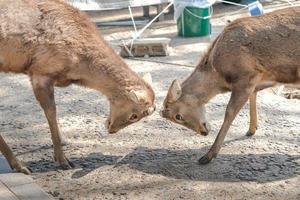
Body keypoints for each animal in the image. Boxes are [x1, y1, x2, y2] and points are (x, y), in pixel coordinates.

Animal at [0, 0, 155, 174]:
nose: (111, 130)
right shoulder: (40, 72)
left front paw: (63, 144)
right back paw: (20, 166)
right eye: (134, 115)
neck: (79, 68)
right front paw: (63, 160)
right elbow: (51, 112)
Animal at [162, 7, 300, 165]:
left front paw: (208, 155)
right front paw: (251, 129)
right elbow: (254, 95)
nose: (203, 132)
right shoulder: (260, 79)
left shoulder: (245, 77)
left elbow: (229, 112)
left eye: (178, 116)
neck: (221, 76)